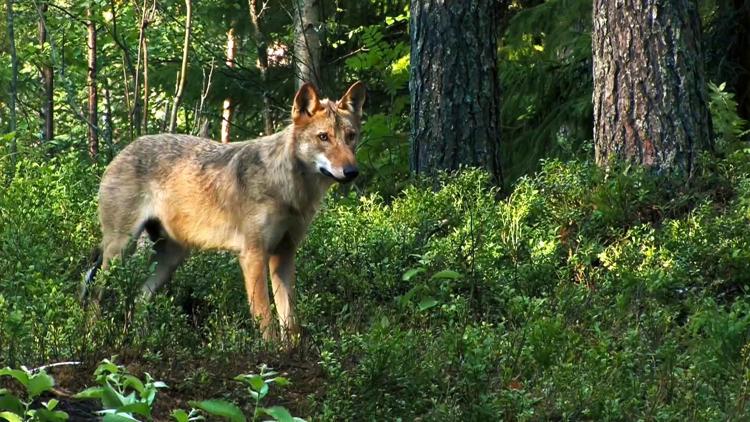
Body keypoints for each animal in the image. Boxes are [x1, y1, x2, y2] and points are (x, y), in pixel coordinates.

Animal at [85, 82, 368, 342]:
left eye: (351, 136)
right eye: (324, 137)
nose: (352, 172)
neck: (288, 189)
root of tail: (124, 149)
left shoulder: (284, 255)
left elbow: (291, 320)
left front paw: (292, 353)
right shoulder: (253, 255)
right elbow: (265, 318)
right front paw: (270, 356)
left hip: (171, 259)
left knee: (140, 297)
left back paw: (141, 340)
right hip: (121, 250)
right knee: (97, 293)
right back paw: (92, 337)